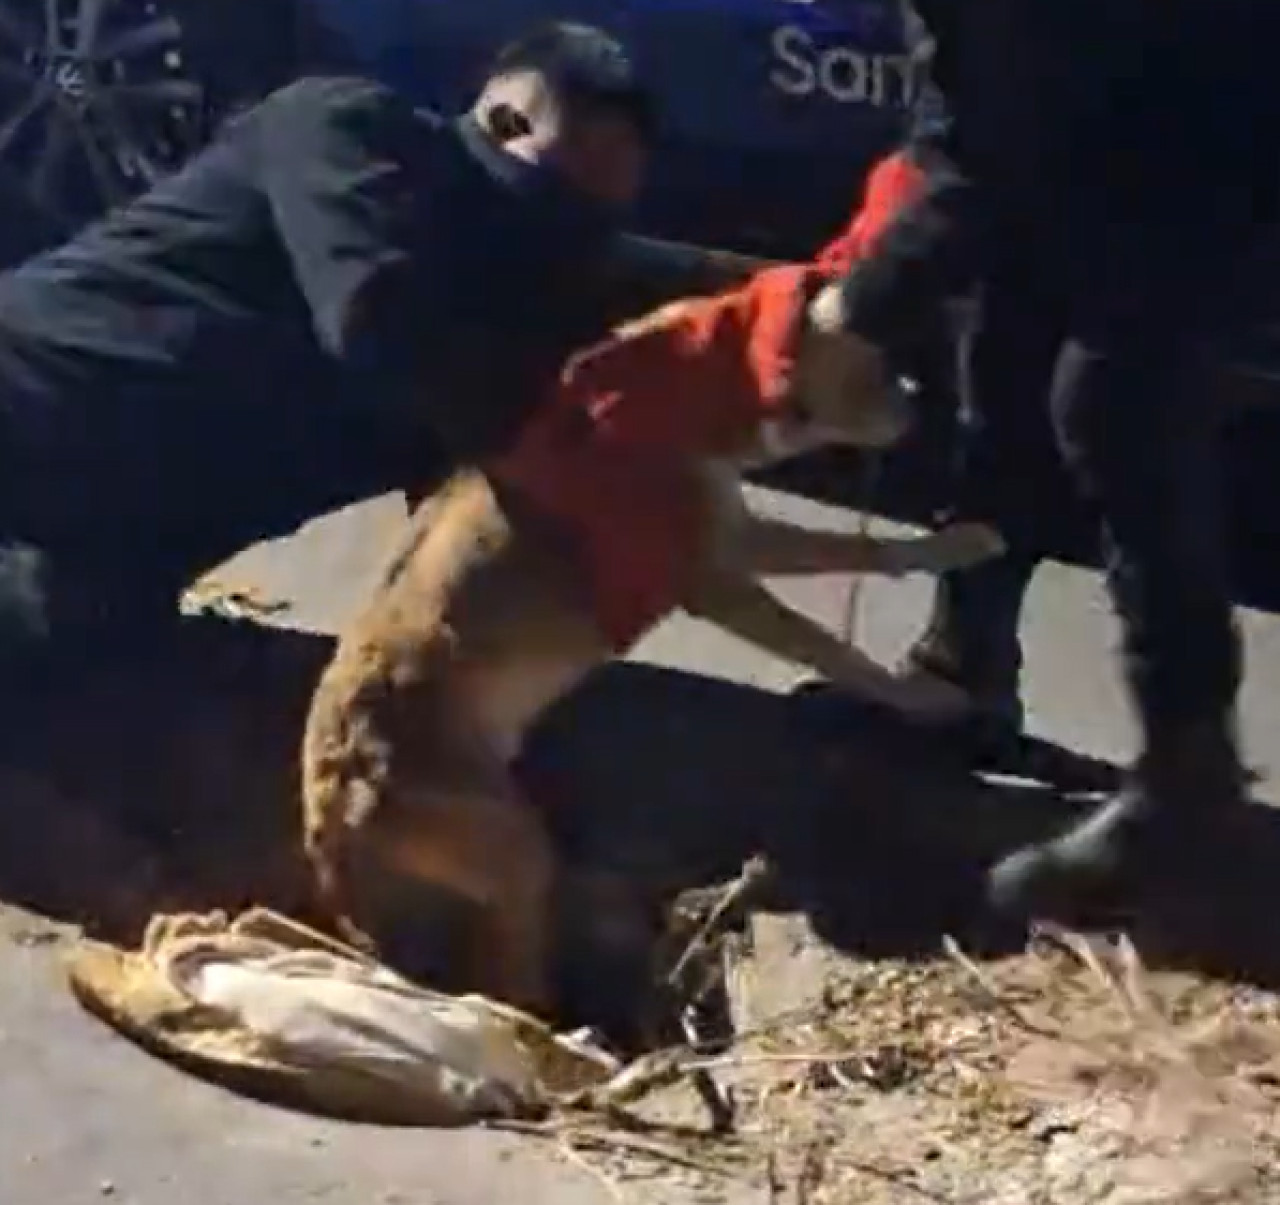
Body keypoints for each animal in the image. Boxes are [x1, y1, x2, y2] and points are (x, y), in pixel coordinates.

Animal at [299, 270, 998, 1014]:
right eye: (871, 365)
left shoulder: (734, 533)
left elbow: (855, 547)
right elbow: (829, 639)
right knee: (510, 977)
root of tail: (326, 799)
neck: (685, 386)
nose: (922, 402)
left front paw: (953, 546)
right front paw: (925, 698)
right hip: (515, 850)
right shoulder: (717, 577)